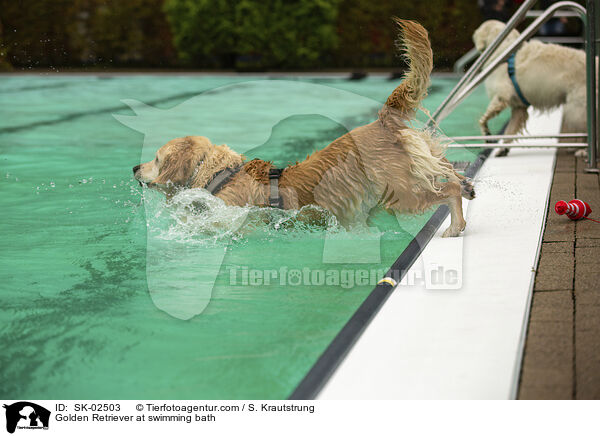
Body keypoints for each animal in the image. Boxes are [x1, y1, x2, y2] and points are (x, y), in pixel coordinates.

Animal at [472, 20, 584, 157]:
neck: (505, 49)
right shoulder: (519, 108)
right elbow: (509, 131)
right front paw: (502, 149)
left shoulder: (502, 96)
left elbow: (482, 119)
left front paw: (487, 134)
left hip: (576, 108)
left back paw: (582, 150)